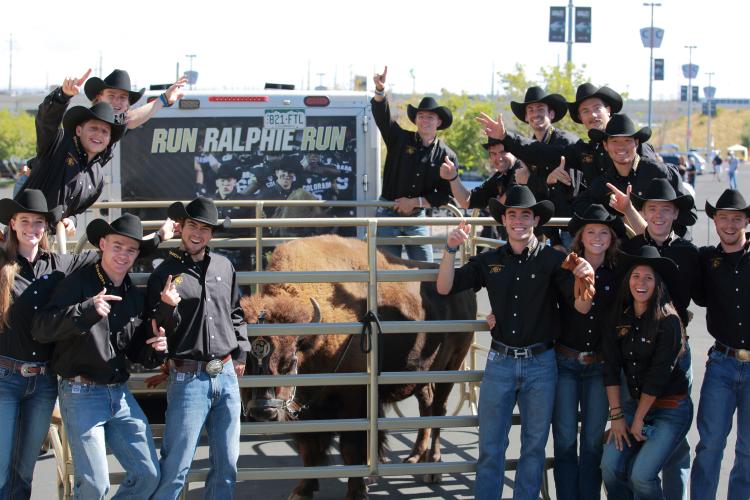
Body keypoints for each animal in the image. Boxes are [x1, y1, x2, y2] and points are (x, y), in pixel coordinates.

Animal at [241, 235, 476, 500]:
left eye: (289, 362)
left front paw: (357, 491)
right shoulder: (307, 409)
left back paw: (433, 468)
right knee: (426, 405)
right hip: (422, 373)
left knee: (438, 409)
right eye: (245, 362)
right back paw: (415, 456)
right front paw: (303, 490)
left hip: (453, 365)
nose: (263, 412)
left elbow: (351, 448)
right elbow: (309, 449)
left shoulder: (354, 401)